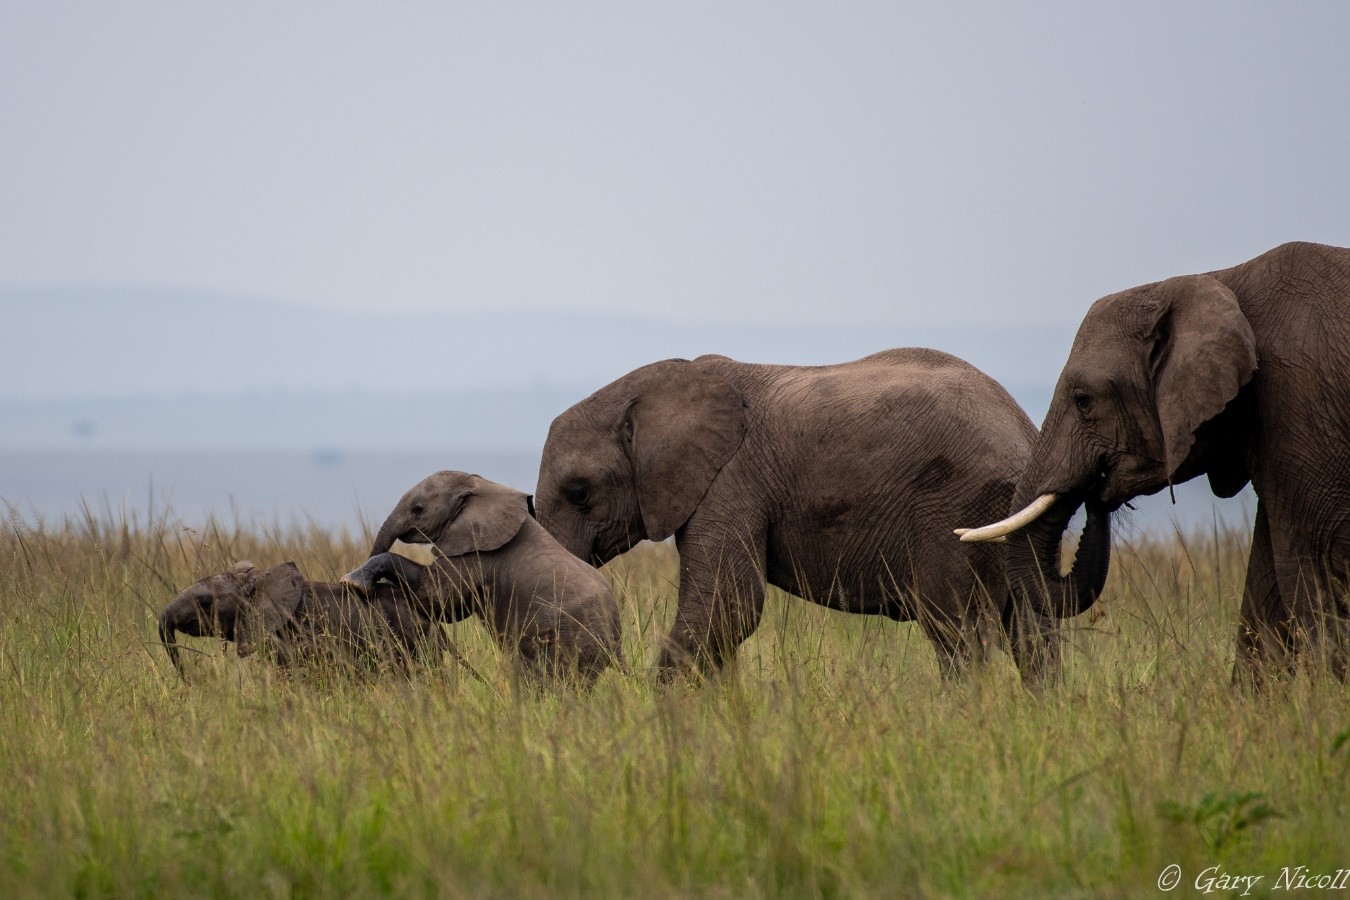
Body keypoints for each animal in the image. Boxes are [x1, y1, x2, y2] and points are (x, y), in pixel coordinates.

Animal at [341, 471, 623, 686]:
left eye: (417, 509)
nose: (372, 593)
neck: (481, 485)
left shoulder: (478, 551)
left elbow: (441, 600)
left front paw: (352, 581)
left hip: (576, 639)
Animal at [535, 348, 1111, 684]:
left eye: (579, 493)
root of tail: (1023, 432)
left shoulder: (730, 481)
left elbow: (728, 606)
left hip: (955, 509)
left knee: (959, 632)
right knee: (1033, 636)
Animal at [958, 241, 1350, 685]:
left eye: (1083, 400)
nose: (1097, 488)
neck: (1218, 280)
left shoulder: (1301, 407)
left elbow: (1315, 571)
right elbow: (1265, 590)